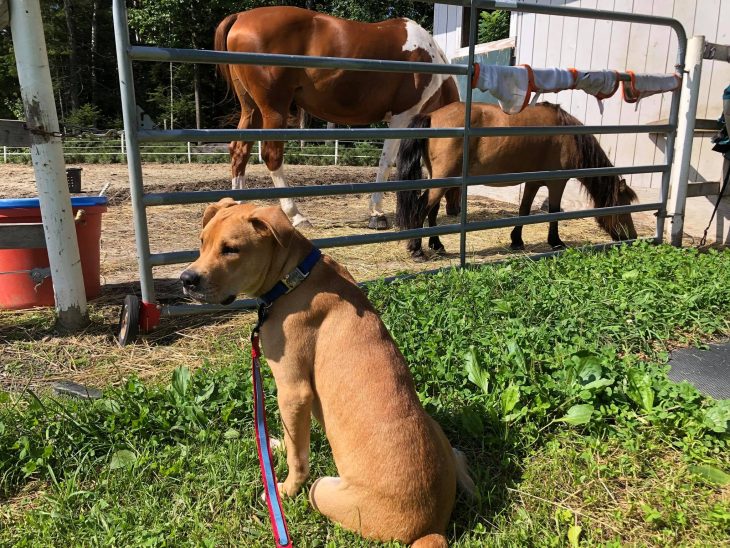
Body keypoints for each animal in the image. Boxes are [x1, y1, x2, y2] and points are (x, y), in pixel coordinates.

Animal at [178, 198, 470, 544]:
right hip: (435, 429)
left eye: (231, 249)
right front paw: (276, 445)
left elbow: (298, 457)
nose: (186, 279)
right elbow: (294, 438)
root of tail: (431, 528)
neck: (294, 278)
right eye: (201, 242)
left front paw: (284, 489)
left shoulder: (292, 390)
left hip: (322, 490)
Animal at [213, 5, 458, 229]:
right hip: (274, 110)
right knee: (271, 155)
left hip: (251, 110)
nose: (455, 209)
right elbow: (388, 163)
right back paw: (296, 216)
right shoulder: (402, 118)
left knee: (240, 151)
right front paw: (377, 214)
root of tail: (241, 17)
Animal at [392, 103, 636, 262]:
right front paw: (556, 241)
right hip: (443, 180)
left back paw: (437, 245)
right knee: (421, 208)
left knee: (431, 211)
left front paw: (516, 241)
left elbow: (524, 210)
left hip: (441, 179)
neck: (568, 136)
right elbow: (554, 212)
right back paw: (417, 250)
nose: (632, 238)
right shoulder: (557, 183)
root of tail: (432, 116)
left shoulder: (533, 183)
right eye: (624, 207)